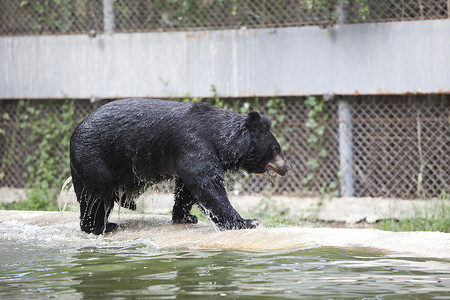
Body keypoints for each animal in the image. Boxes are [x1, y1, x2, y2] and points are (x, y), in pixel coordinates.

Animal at [69, 98, 290, 234]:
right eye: (276, 149)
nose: (286, 167)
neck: (220, 139)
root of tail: (73, 136)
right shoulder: (194, 143)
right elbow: (206, 184)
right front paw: (248, 222)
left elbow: (187, 187)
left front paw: (185, 217)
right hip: (95, 161)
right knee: (97, 199)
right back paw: (102, 227)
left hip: (83, 171)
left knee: (88, 198)